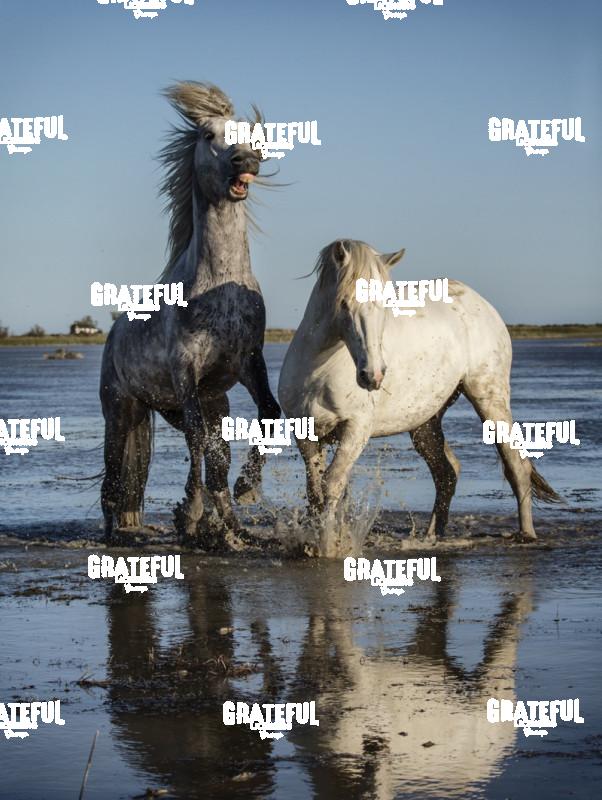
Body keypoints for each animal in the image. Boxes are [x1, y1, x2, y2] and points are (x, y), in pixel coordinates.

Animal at [100, 82, 280, 548]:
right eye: (207, 135)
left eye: (246, 133)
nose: (244, 160)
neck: (220, 285)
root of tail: (114, 331)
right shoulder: (185, 370)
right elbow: (199, 441)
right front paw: (192, 511)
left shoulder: (247, 360)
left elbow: (269, 414)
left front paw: (247, 489)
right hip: (122, 409)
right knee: (114, 477)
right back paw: (115, 534)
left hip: (204, 404)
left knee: (214, 460)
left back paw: (233, 528)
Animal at [278, 239, 559, 557]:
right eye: (345, 303)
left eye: (385, 305)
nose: (373, 375)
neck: (318, 369)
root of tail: (481, 304)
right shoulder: (306, 435)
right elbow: (315, 491)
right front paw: (313, 542)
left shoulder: (356, 430)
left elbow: (332, 485)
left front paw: (329, 546)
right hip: (426, 422)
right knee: (447, 472)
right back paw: (432, 536)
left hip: (490, 400)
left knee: (515, 465)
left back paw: (526, 534)